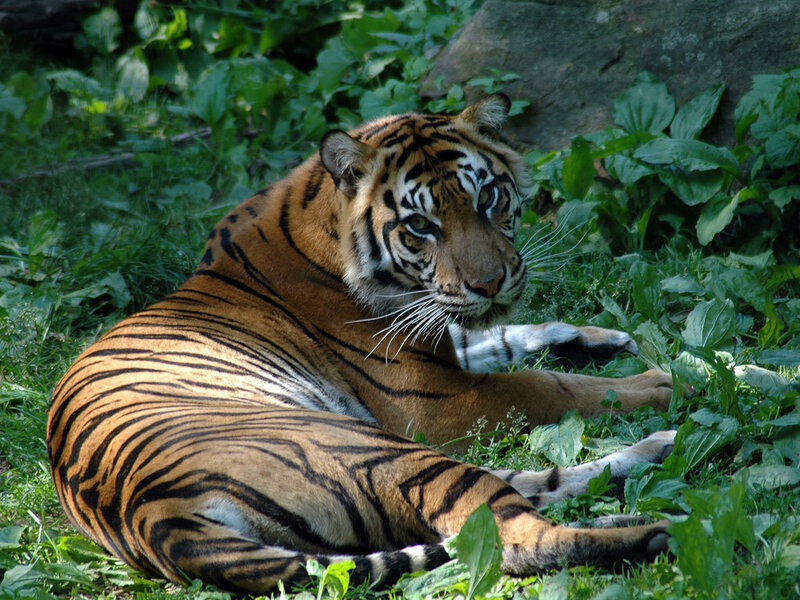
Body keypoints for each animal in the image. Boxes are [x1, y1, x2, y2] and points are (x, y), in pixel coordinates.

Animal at [47, 94, 676, 595]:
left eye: (488, 199)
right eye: (421, 226)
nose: (491, 283)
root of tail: (157, 517)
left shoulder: (439, 336)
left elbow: (496, 334)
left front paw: (599, 337)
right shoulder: (438, 399)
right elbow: (549, 384)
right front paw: (668, 380)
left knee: (521, 494)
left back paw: (656, 456)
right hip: (378, 448)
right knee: (514, 535)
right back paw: (654, 531)